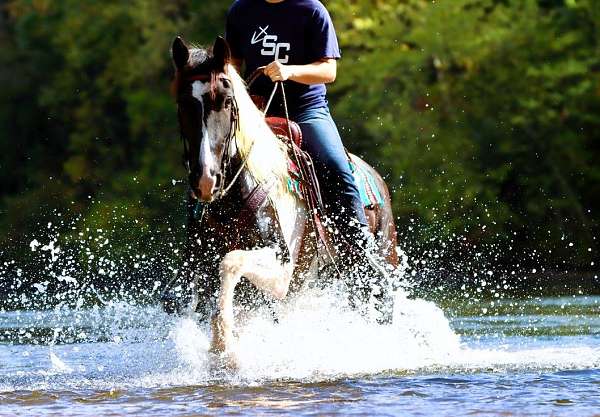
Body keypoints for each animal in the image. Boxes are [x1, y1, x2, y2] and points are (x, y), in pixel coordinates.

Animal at [164, 37, 398, 360]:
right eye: (183, 104)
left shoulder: (282, 269)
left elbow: (231, 262)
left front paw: (223, 343)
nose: (206, 180)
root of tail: (376, 179)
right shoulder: (202, 268)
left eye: (226, 101)